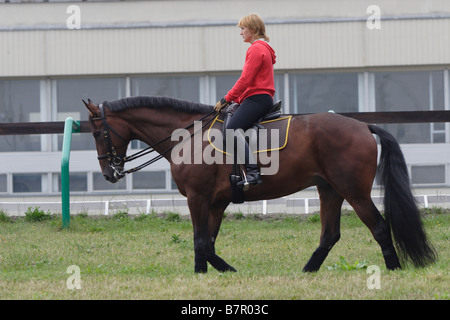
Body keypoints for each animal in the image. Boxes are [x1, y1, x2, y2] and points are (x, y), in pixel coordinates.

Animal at [83, 95, 436, 272]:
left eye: (98, 132)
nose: (109, 173)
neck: (190, 135)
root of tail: (362, 125)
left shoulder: (197, 198)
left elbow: (201, 242)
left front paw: (222, 271)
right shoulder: (215, 203)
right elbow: (207, 243)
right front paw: (208, 274)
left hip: (354, 191)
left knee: (379, 226)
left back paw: (393, 268)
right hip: (330, 190)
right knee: (330, 235)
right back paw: (307, 272)